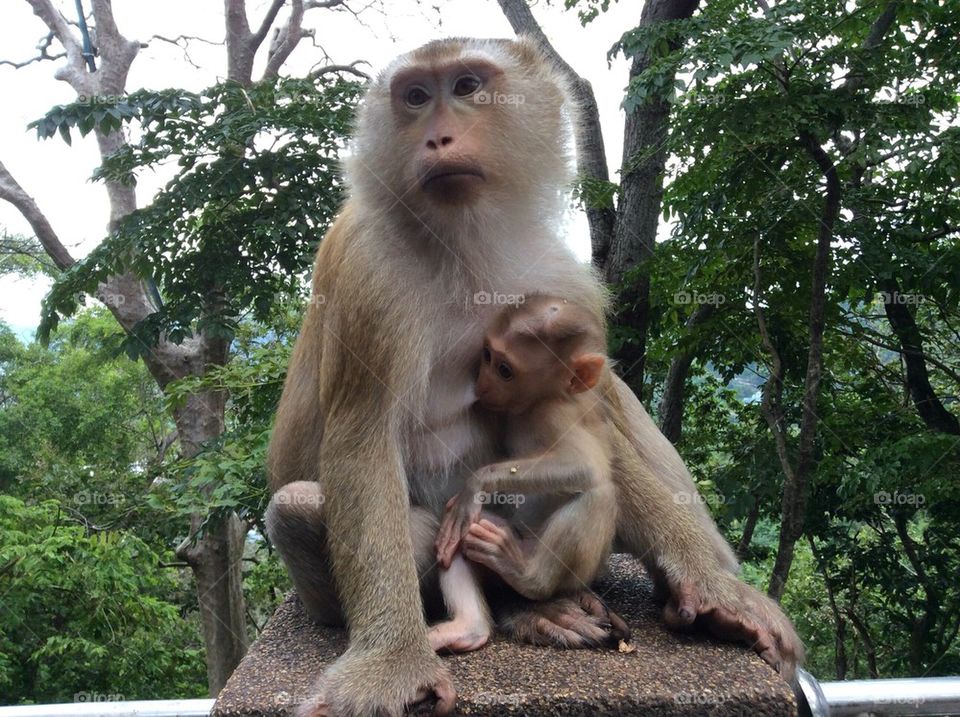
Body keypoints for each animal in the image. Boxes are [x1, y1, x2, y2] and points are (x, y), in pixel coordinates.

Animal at [428, 295, 628, 653]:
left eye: (505, 371)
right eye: (487, 355)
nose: (482, 384)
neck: (536, 403)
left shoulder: (554, 414)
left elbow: (584, 465)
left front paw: (476, 483)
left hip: (574, 573)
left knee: (598, 493)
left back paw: (529, 577)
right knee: (467, 530)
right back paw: (467, 628)